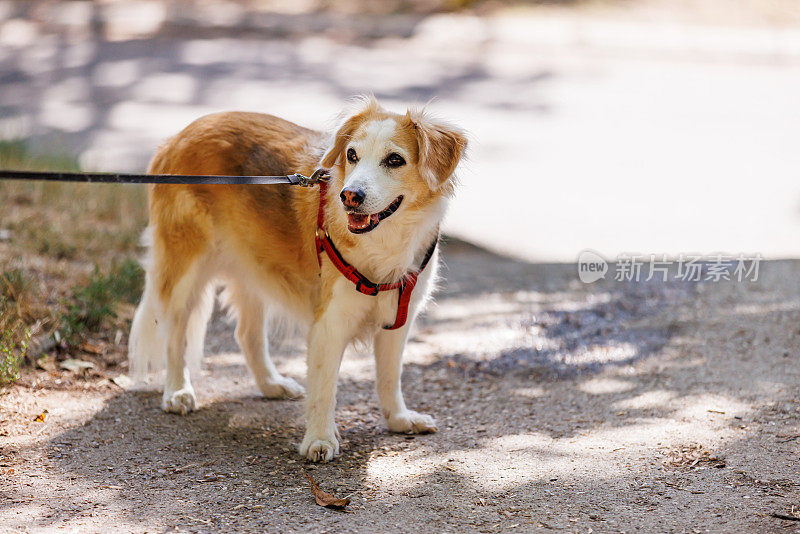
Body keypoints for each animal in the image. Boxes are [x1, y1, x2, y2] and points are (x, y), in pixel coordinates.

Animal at [130, 97, 468, 464]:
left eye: (395, 160)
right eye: (352, 155)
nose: (349, 196)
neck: (385, 241)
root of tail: (176, 137)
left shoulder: (396, 320)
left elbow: (390, 379)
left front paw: (399, 419)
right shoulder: (329, 324)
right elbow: (324, 389)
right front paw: (319, 439)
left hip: (254, 267)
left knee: (247, 335)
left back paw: (271, 384)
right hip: (184, 269)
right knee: (174, 332)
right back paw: (177, 390)